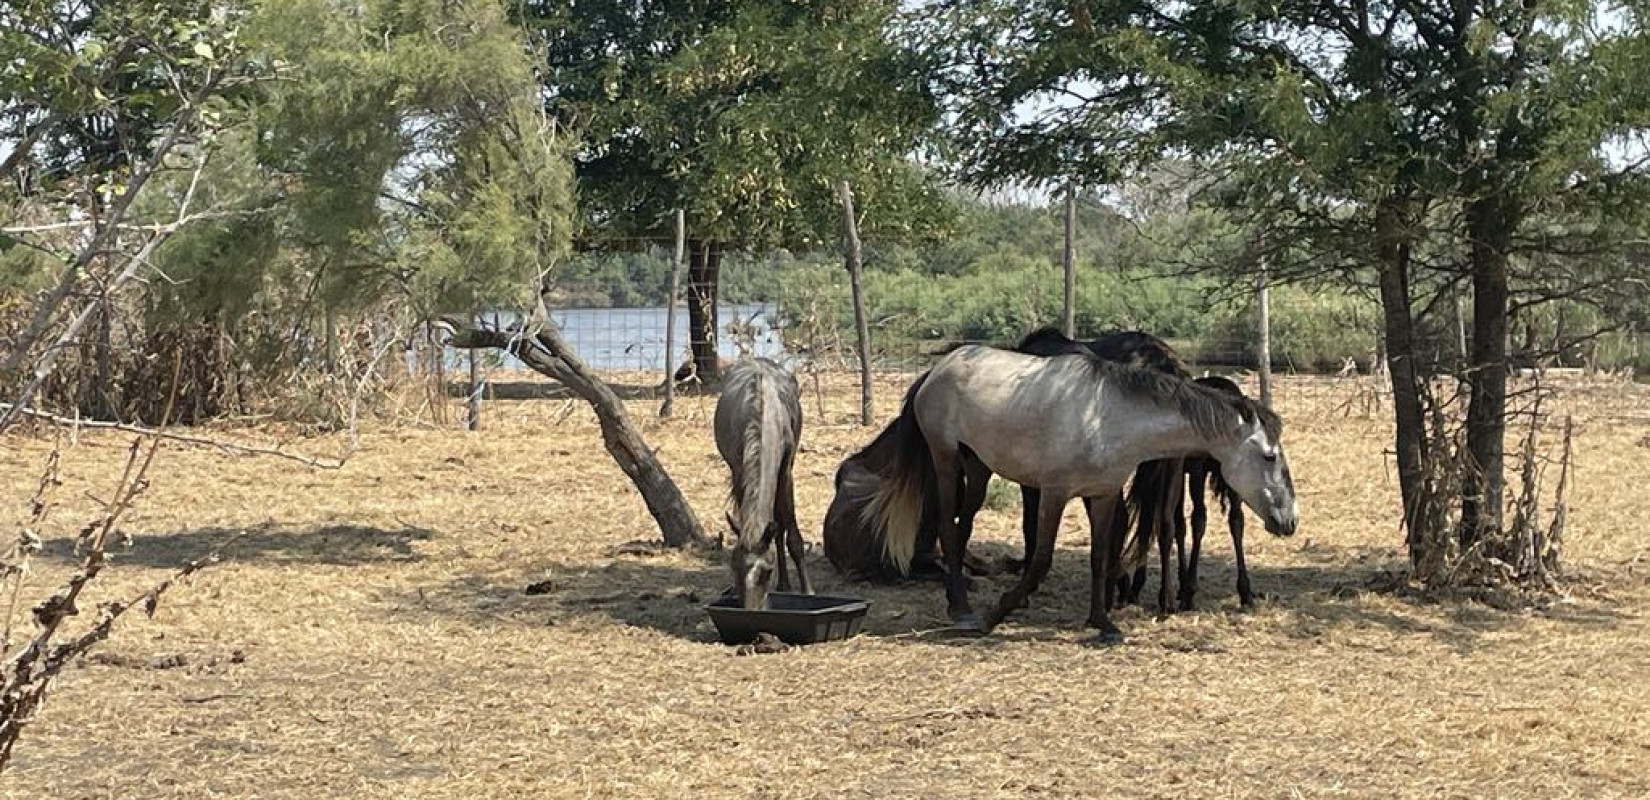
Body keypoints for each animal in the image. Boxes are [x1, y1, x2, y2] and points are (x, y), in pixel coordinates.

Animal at [712, 356, 808, 603]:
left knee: (779, 523)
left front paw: (808, 590)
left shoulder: (786, 468)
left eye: (767, 571)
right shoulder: (738, 469)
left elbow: (791, 534)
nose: (750, 605)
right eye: (734, 567)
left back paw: (786, 583)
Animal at [864, 344, 1300, 643]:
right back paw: (965, 611)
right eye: (1269, 456)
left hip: (979, 468)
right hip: (946, 458)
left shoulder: (1103, 494)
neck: (1108, 417)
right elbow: (1040, 561)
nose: (1289, 520)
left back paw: (957, 604)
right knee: (947, 526)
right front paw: (996, 615)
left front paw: (1102, 623)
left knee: (961, 527)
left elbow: (1099, 557)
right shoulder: (1055, 493)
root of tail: (936, 370)